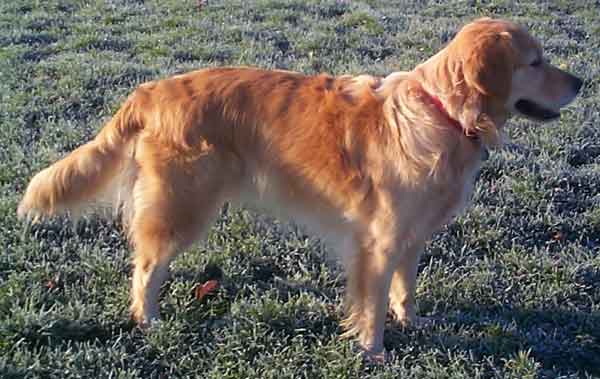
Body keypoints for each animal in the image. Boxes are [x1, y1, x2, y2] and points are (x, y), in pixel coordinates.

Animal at [18, 17, 580, 360]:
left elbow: (405, 288)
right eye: (534, 62)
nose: (580, 83)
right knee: (145, 267)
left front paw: (411, 322)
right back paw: (148, 321)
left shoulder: (411, 235)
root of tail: (153, 90)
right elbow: (373, 301)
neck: (443, 113)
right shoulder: (378, 241)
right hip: (183, 205)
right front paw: (373, 351)